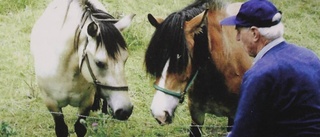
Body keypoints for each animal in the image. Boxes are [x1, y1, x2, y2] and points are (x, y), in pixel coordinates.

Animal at [30, 0, 134, 136]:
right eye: (99, 63)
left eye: (125, 59)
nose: (126, 111)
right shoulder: (52, 104)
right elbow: (62, 130)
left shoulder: (86, 103)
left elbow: (80, 128)